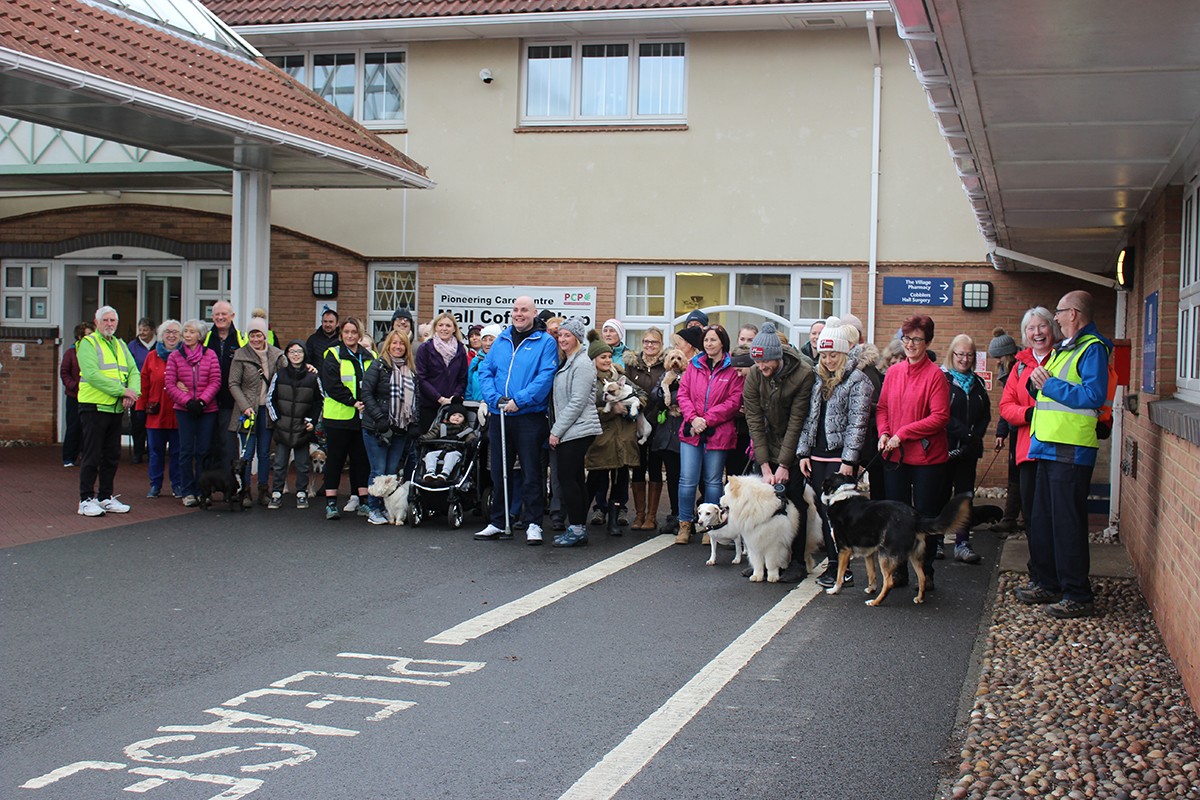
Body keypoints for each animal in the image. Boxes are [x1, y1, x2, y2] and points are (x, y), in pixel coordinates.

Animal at [820, 474, 969, 606]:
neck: (840, 493)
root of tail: (914, 518)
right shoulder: (868, 553)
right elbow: (871, 574)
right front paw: (871, 589)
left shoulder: (843, 550)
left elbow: (839, 575)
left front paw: (834, 590)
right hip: (914, 555)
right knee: (922, 577)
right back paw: (919, 598)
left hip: (884, 555)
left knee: (889, 582)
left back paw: (875, 602)